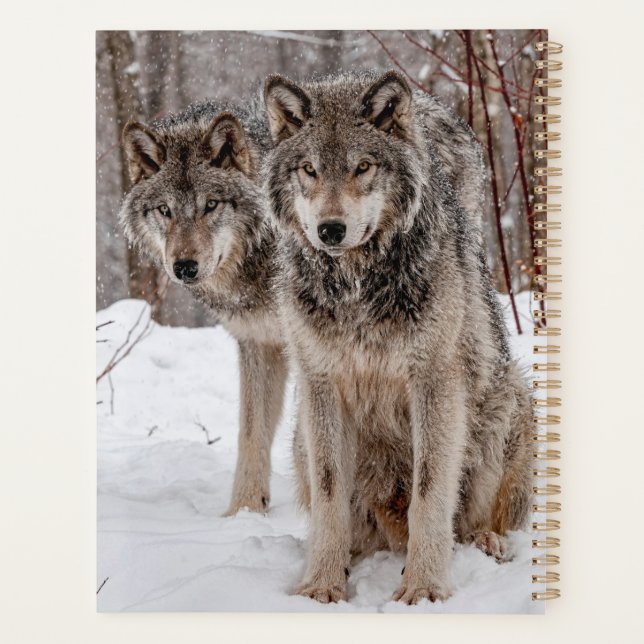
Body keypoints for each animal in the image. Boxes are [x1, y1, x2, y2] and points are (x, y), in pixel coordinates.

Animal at [119, 100, 288, 516]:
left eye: (210, 205)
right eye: (165, 210)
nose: (184, 267)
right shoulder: (259, 342)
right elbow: (252, 433)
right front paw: (244, 513)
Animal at [263, 70, 533, 604]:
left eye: (363, 167)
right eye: (309, 170)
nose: (330, 229)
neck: (356, 288)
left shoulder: (434, 381)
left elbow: (430, 491)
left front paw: (424, 587)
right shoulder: (320, 383)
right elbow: (329, 494)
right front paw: (321, 585)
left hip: (508, 400)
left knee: (476, 519)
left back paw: (485, 541)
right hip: (302, 437)